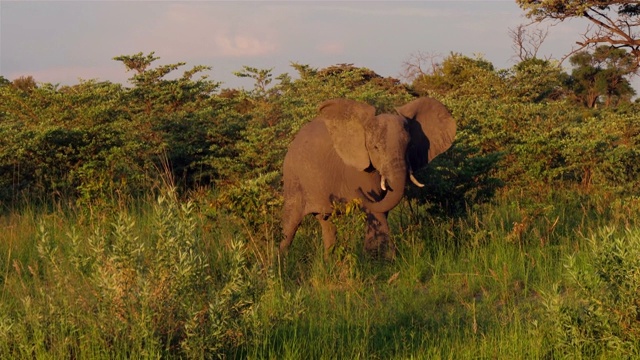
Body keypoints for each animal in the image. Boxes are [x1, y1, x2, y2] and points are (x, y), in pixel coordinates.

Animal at [280, 97, 456, 258]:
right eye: (375, 148)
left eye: (409, 146)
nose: (356, 192)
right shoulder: (358, 170)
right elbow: (375, 206)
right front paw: (380, 262)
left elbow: (382, 206)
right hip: (293, 179)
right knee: (291, 222)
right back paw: (281, 264)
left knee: (327, 222)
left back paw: (331, 262)